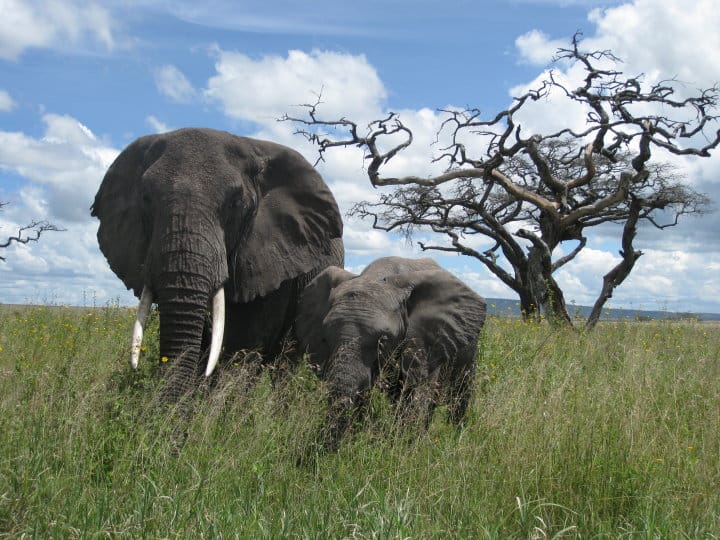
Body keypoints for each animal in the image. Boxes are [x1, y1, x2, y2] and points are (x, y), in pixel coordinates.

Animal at [296, 255, 486, 450]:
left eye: (383, 339)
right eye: (325, 338)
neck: (377, 277)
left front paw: (408, 447)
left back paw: (456, 435)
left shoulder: (425, 341)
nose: (323, 449)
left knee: (459, 390)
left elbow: (418, 393)